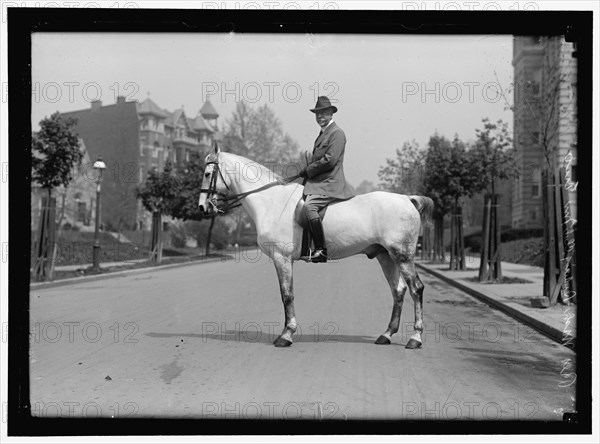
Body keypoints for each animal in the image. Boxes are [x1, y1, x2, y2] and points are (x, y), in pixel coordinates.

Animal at [199, 151, 434, 348]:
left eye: (208, 173)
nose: (203, 207)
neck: (272, 202)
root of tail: (408, 199)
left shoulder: (282, 258)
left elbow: (287, 295)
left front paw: (286, 335)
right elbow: (286, 294)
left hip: (402, 256)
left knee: (416, 289)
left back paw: (415, 338)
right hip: (385, 256)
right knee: (398, 290)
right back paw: (386, 334)